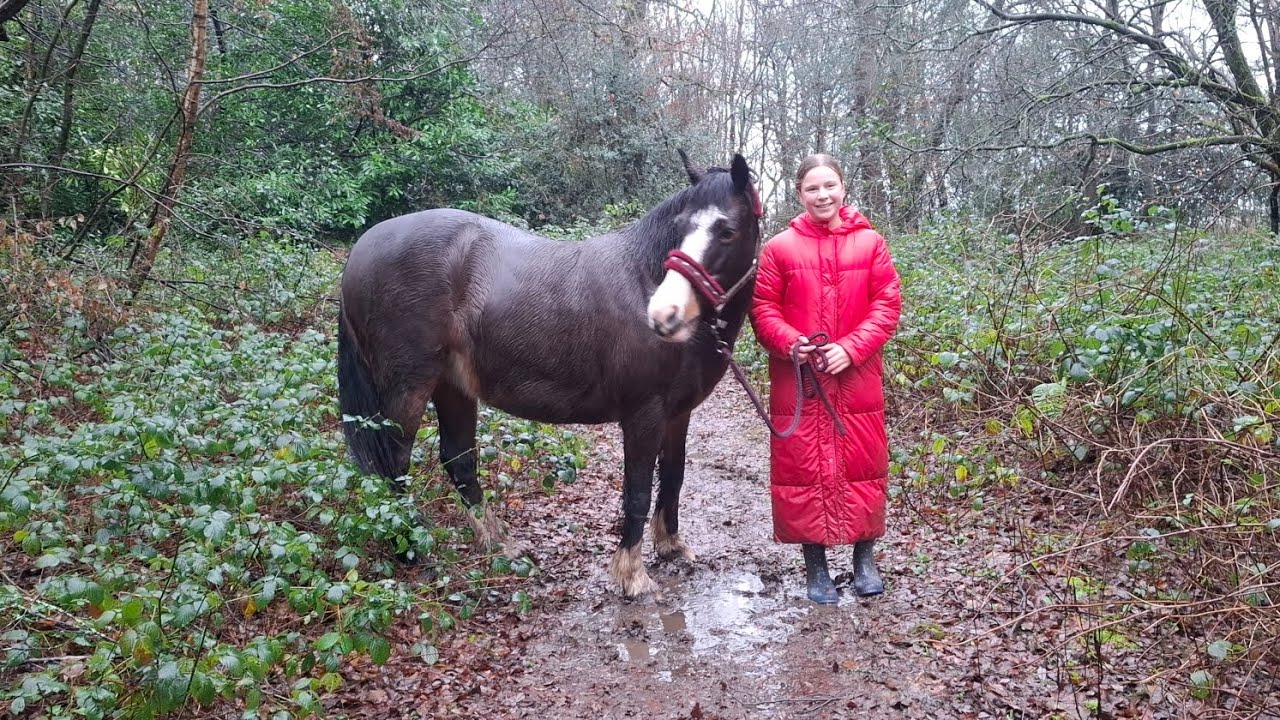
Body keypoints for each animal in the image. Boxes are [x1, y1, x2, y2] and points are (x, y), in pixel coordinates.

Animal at [336, 151, 762, 597]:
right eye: (680, 227)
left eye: (727, 231)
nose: (664, 315)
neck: (641, 277)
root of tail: (362, 248)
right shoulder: (643, 414)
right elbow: (638, 491)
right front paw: (632, 574)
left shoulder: (678, 413)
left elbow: (674, 477)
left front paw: (671, 545)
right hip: (408, 389)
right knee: (393, 466)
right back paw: (411, 549)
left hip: (452, 385)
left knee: (458, 460)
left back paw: (500, 545)